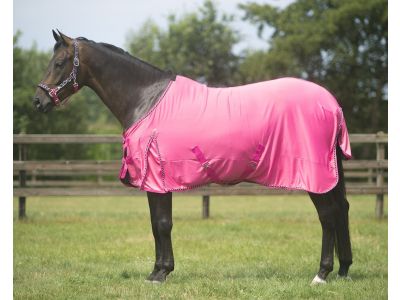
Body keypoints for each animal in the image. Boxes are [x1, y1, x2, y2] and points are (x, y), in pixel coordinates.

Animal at [34, 30, 354, 284]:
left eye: (59, 63)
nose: (38, 101)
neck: (146, 98)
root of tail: (331, 104)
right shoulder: (155, 181)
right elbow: (156, 224)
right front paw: (157, 271)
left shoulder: (157, 178)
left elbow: (162, 223)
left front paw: (161, 274)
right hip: (331, 173)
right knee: (341, 209)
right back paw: (343, 269)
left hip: (314, 175)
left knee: (328, 215)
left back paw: (321, 274)